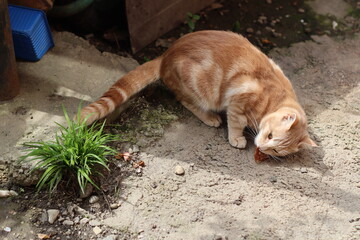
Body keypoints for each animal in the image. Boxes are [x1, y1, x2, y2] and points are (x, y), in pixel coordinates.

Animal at [80, 30, 316, 158]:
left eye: (276, 151)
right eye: (270, 136)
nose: (262, 147)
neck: (272, 99)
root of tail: (166, 54)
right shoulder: (237, 102)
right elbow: (236, 123)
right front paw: (237, 138)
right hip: (201, 89)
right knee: (185, 100)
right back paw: (210, 117)